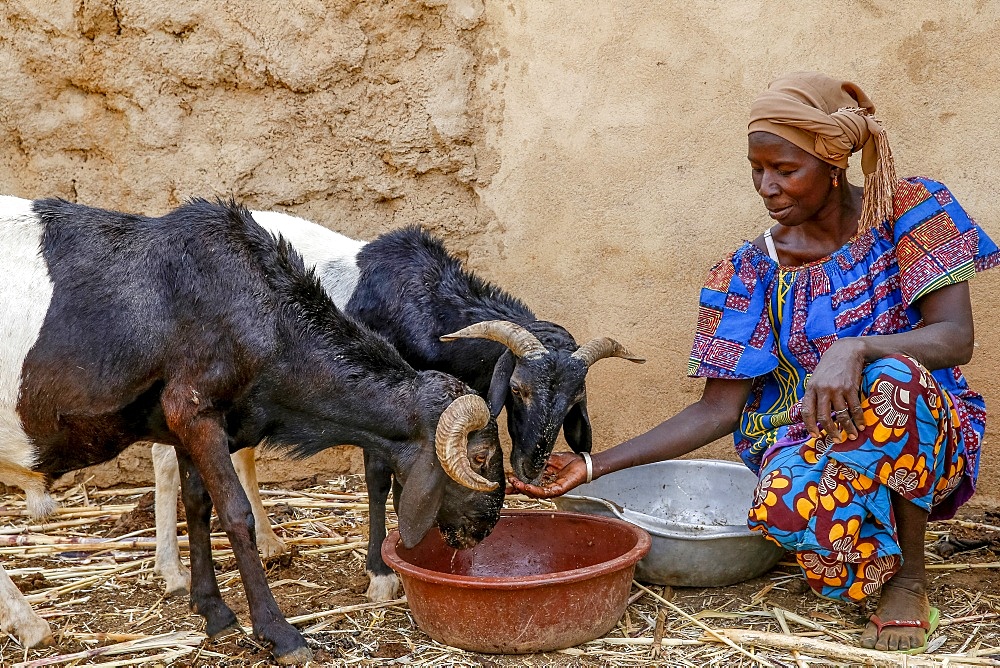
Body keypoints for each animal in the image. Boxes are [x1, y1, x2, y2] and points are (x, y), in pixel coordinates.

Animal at [0, 198, 504, 664]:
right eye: (479, 459)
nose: (484, 530)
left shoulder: (183, 423)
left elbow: (197, 505)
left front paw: (214, 612)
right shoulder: (195, 412)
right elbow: (234, 514)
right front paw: (280, 634)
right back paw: (32, 625)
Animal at [153, 211, 644, 604]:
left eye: (573, 401)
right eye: (518, 389)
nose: (531, 465)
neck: (425, 304)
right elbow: (377, 481)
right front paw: (382, 574)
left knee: (243, 455)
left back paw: (271, 544)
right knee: (165, 456)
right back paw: (172, 572)